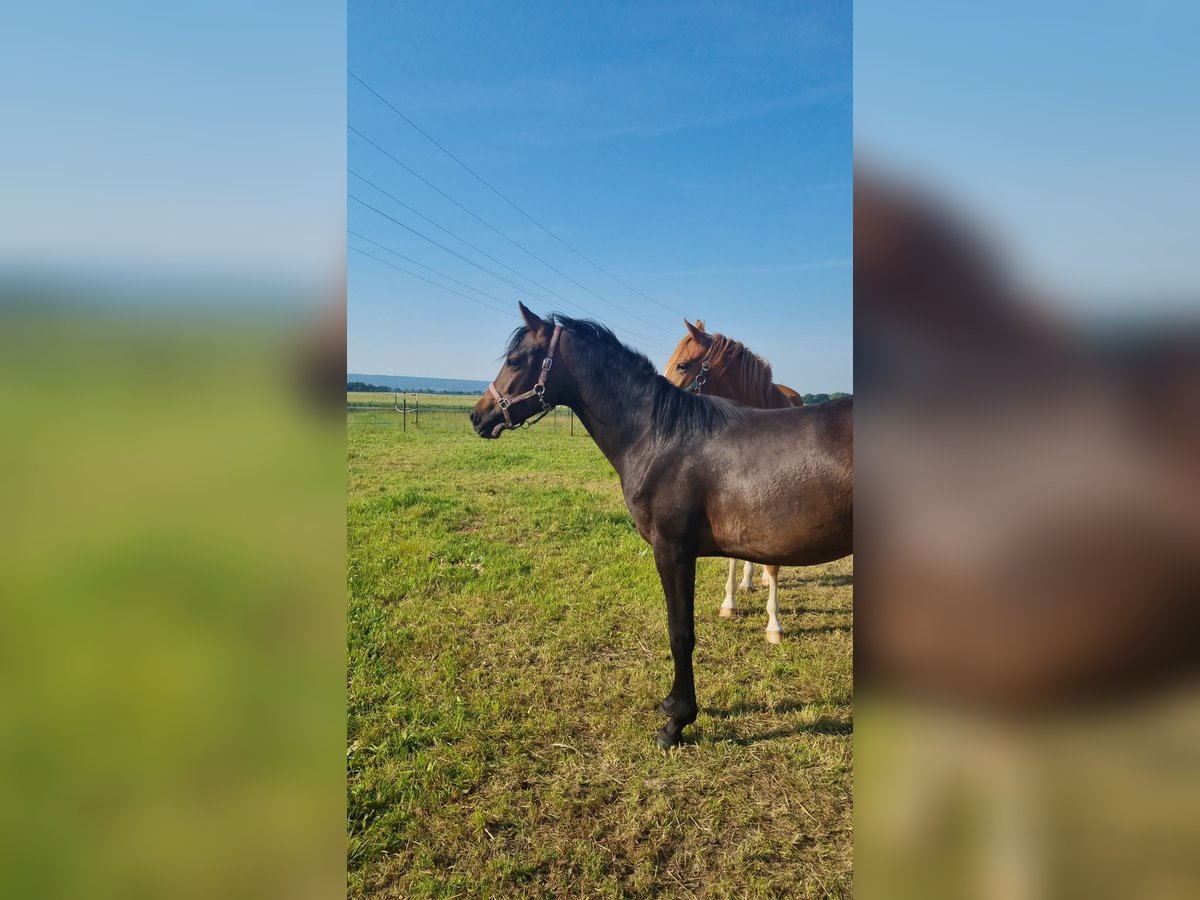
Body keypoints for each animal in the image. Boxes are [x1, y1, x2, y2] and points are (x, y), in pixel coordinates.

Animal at [468, 307, 854, 748]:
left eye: (515, 361)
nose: (478, 415)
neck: (659, 436)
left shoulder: (673, 551)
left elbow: (680, 634)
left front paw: (677, 721)